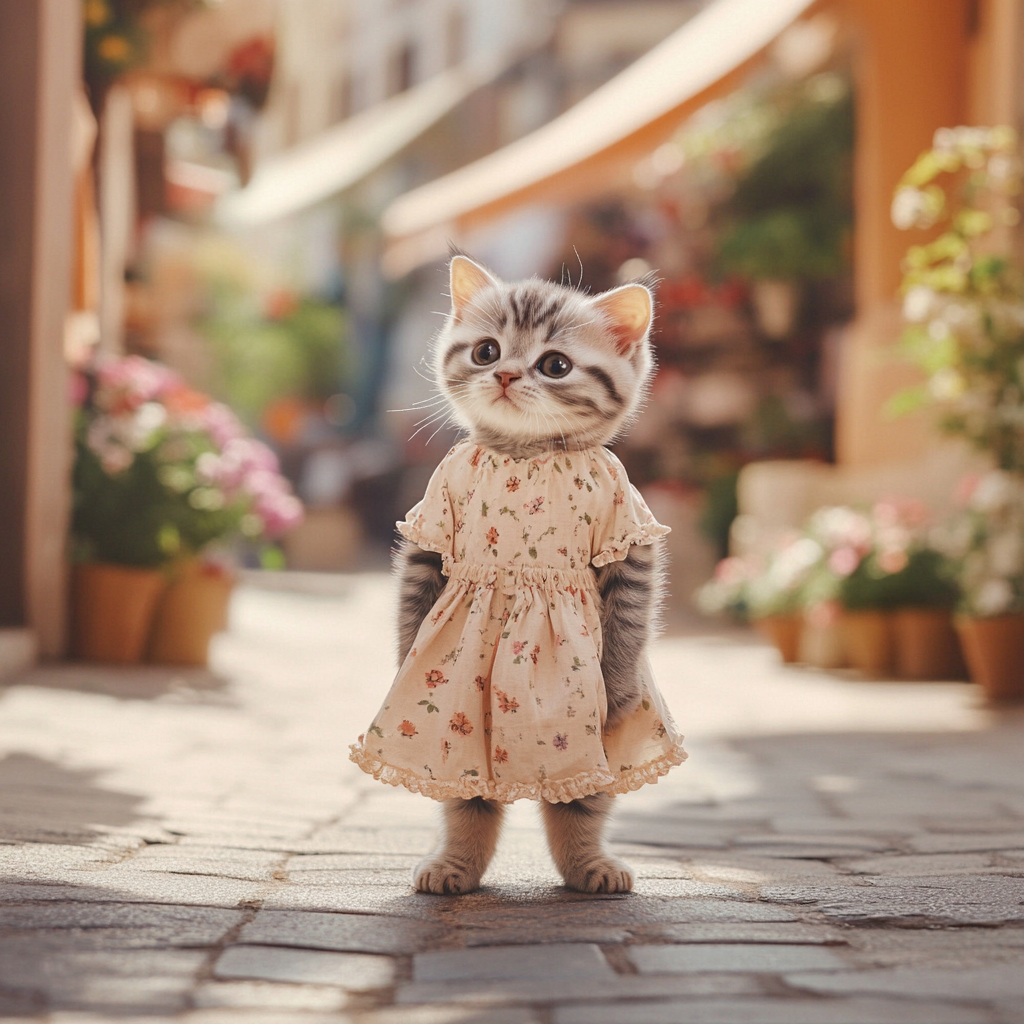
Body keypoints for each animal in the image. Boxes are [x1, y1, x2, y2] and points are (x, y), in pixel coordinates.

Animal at [391, 251, 663, 892]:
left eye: (555, 365)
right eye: (486, 351)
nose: (508, 375)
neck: (527, 456)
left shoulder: (629, 536)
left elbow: (632, 613)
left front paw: (618, 684)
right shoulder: (431, 531)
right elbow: (413, 602)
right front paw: (405, 658)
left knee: (581, 799)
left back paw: (588, 867)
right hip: (454, 746)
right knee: (466, 795)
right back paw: (456, 866)